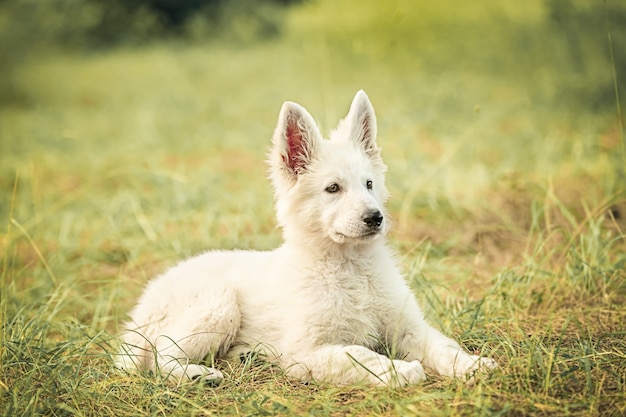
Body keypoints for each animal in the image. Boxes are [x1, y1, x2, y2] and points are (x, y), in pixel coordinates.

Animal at [118, 91, 498, 386]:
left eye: (369, 184)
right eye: (333, 188)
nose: (375, 218)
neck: (351, 269)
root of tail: (143, 305)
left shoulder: (408, 328)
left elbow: (442, 346)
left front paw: (473, 365)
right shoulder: (307, 351)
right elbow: (359, 355)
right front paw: (402, 371)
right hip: (218, 304)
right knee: (159, 355)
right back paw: (198, 375)